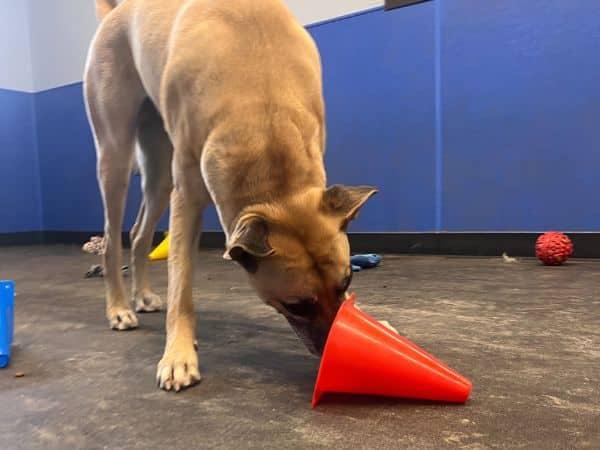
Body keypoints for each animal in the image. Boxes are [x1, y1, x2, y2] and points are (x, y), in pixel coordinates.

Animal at [85, 0, 376, 392]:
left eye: (346, 283)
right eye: (297, 305)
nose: (332, 349)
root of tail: (117, 12)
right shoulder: (187, 198)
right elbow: (181, 286)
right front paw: (178, 355)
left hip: (159, 173)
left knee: (139, 232)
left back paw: (142, 294)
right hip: (115, 156)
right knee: (112, 239)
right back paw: (118, 307)